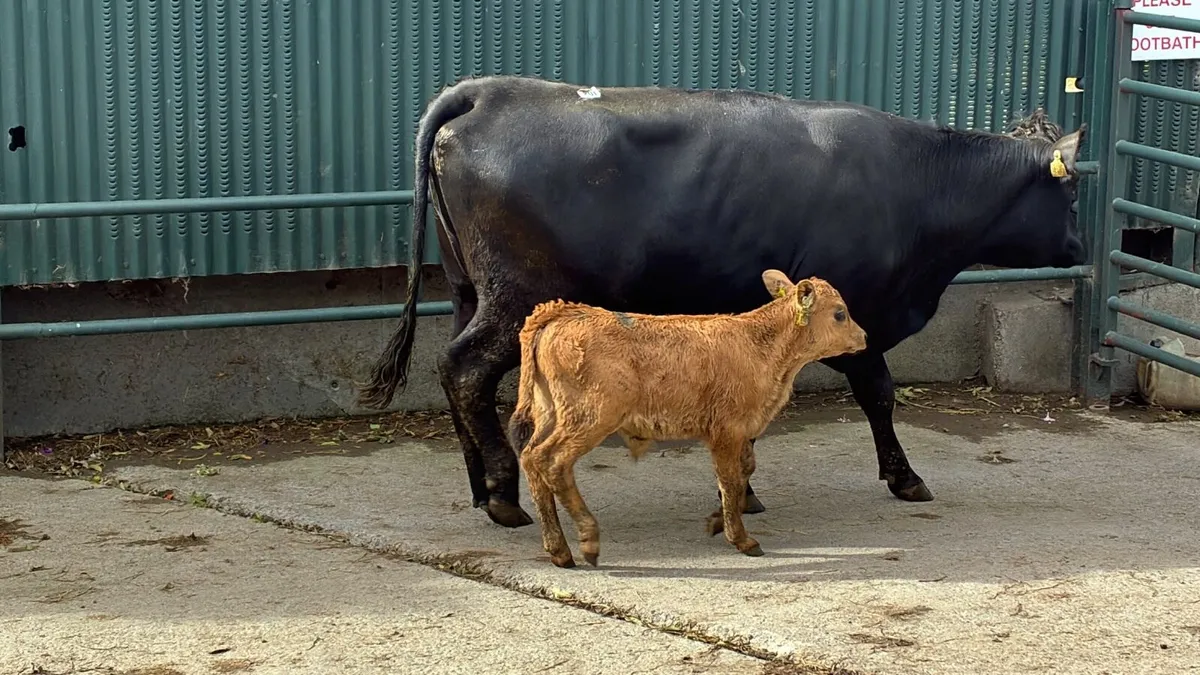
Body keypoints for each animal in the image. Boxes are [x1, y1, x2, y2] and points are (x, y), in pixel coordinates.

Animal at [356, 75, 1088, 529]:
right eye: (1073, 190)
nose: (1083, 242)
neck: (916, 184)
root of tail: (488, 91)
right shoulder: (853, 315)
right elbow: (878, 395)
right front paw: (903, 477)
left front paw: (745, 488)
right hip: (517, 298)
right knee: (464, 370)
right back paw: (505, 493)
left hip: (468, 289)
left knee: (459, 376)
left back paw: (484, 487)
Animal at [509, 271, 868, 568]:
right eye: (840, 313)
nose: (864, 336)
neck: (760, 346)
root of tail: (562, 312)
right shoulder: (727, 430)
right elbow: (730, 478)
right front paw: (741, 538)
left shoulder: (741, 433)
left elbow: (744, 472)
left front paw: (718, 520)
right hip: (590, 417)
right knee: (552, 462)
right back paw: (586, 542)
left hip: (550, 413)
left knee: (530, 458)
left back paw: (558, 550)